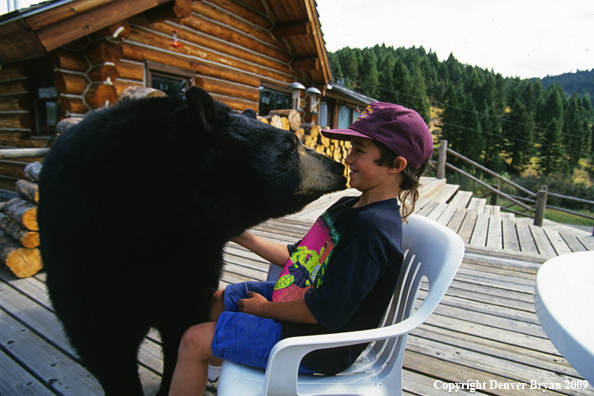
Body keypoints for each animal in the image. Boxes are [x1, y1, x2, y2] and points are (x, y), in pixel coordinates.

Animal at [37, 87, 344, 396]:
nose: (338, 167)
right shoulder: (89, 256)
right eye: (290, 146)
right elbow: (104, 342)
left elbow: (181, 324)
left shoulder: (193, 262)